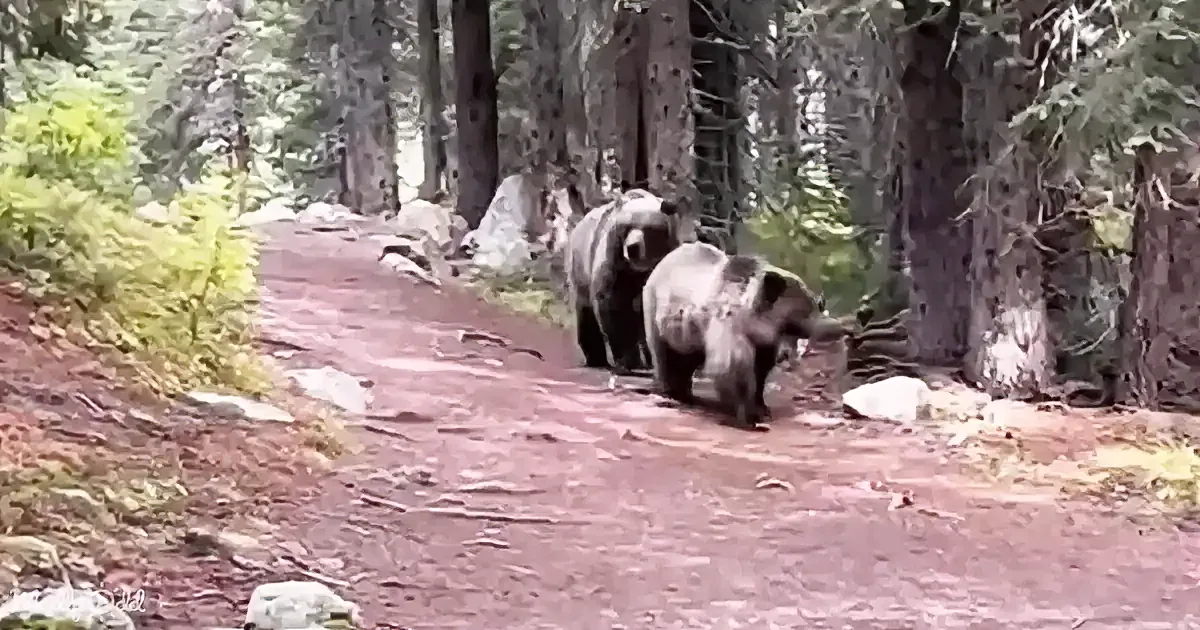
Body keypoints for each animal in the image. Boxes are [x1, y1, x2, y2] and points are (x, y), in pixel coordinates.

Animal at [566, 189, 692, 374]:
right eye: (626, 226)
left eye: (648, 228)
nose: (633, 248)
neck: (639, 268)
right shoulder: (614, 261)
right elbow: (613, 304)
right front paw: (627, 360)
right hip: (581, 266)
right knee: (586, 313)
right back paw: (597, 359)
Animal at [641, 242, 851, 428]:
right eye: (804, 313)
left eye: (817, 305)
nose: (837, 326)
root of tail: (665, 259)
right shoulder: (730, 327)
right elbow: (733, 369)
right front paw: (747, 415)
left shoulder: (764, 344)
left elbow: (761, 373)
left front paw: (762, 407)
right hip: (655, 307)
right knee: (661, 352)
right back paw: (668, 392)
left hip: (689, 333)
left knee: (687, 357)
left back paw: (685, 393)